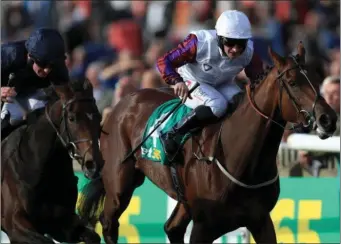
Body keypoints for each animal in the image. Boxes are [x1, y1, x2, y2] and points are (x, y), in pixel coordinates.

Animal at [1, 79, 103, 243]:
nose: (93, 164)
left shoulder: (62, 224)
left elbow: (92, 236)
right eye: (72, 118)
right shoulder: (15, 225)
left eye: (98, 117)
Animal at [78, 43, 336, 243]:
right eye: (292, 82)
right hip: (119, 184)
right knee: (109, 222)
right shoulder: (204, 227)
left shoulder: (261, 220)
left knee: (172, 228)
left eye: (316, 77)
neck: (239, 157)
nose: (328, 119)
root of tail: (122, 103)